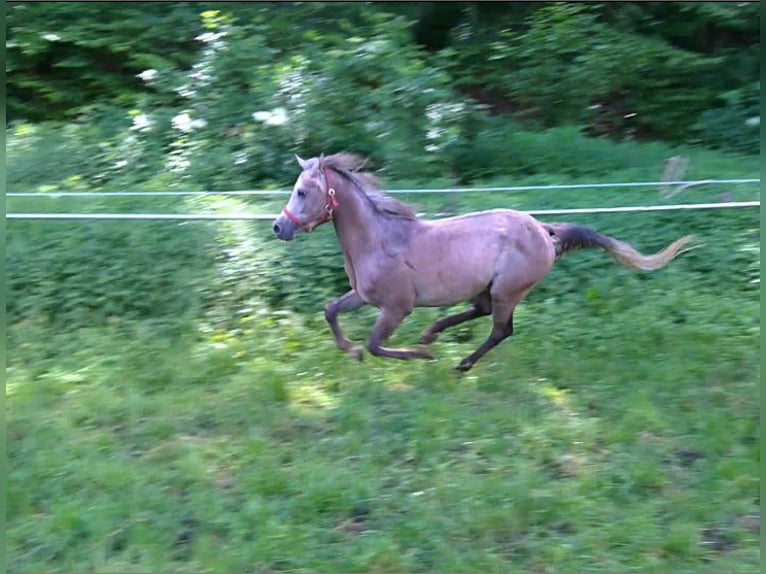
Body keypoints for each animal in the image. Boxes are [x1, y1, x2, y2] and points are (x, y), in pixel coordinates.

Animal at [272, 153, 692, 372]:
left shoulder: (396, 307)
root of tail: (545, 231)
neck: (379, 239)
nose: (279, 227)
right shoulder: (362, 295)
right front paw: (353, 351)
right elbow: (330, 311)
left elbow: (377, 345)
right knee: (480, 312)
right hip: (488, 288)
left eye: (303, 191)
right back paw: (433, 333)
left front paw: (421, 356)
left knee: (500, 329)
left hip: (509, 290)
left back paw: (459, 362)